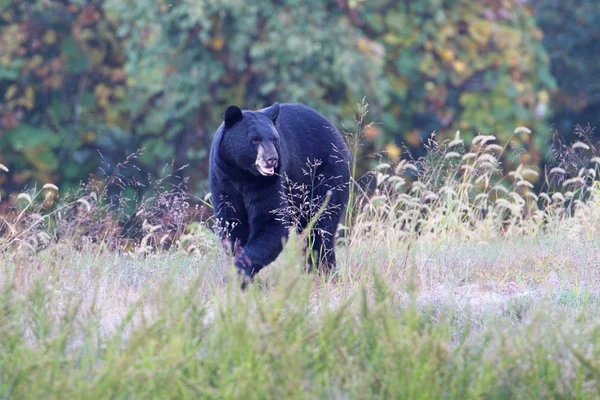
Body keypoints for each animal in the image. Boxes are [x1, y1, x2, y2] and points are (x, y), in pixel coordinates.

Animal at [211, 101, 352, 280]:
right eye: (254, 140)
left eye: (274, 139)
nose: (272, 159)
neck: (243, 175)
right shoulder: (222, 179)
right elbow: (232, 225)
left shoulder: (270, 182)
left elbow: (272, 222)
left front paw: (239, 273)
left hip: (327, 175)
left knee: (321, 227)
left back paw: (323, 272)